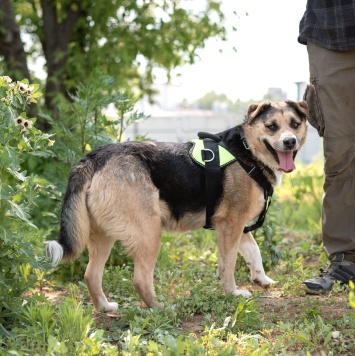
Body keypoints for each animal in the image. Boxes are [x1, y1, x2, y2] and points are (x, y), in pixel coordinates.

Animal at [46, 99, 308, 312]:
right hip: (149, 233)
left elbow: (254, 252)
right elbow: (228, 265)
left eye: (294, 124)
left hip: (104, 235)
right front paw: (232, 293)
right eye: (271, 126)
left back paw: (105, 307)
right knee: (140, 279)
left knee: (91, 275)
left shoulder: (238, 227)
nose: (289, 141)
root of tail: (96, 157)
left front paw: (262, 279)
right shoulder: (230, 225)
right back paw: (160, 308)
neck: (247, 150)